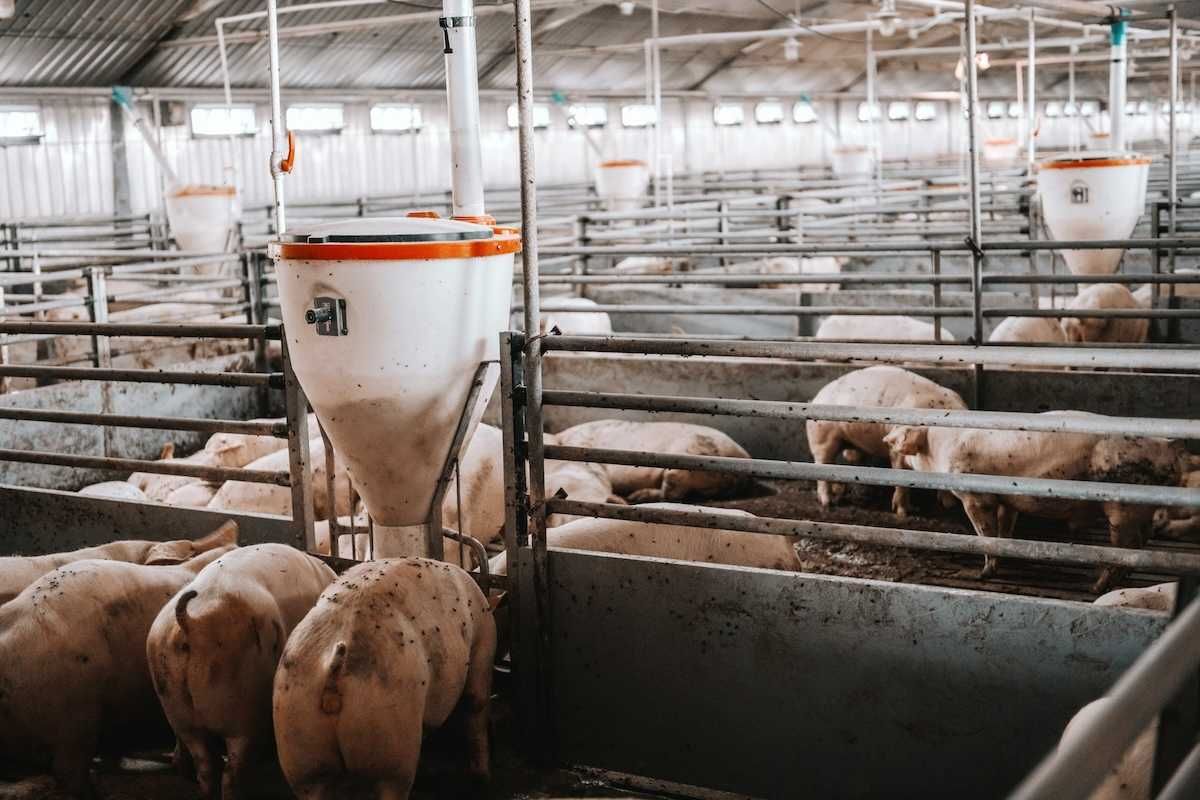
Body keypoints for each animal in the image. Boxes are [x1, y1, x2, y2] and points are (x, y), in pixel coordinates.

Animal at [273, 559, 497, 799]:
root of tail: (332, 664)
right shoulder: (482, 650)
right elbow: (476, 706)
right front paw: (482, 777)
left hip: (299, 742)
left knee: (312, 782)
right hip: (391, 742)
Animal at [805, 366, 967, 518]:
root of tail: (816, 398)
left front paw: (949, 505)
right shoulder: (895, 450)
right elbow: (902, 481)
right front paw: (903, 513)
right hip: (821, 437)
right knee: (822, 466)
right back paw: (828, 502)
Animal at [885, 412, 1188, 592]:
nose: (887, 439)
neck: (938, 445)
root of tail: (1167, 446)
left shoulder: (976, 496)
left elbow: (985, 533)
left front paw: (984, 573)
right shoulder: (1007, 499)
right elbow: (1005, 529)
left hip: (1122, 507)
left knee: (1126, 547)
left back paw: (1097, 587)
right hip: (1141, 509)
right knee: (1142, 541)